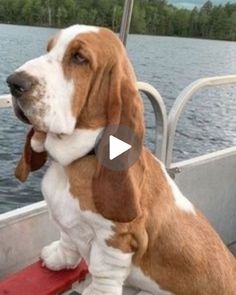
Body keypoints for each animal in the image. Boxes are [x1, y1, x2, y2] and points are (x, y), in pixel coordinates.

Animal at [6, 25, 235, 295]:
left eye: (79, 58)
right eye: (49, 48)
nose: (13, 83)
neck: (73, 163)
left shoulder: (117, 238)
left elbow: (103, 271)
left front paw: (94, 291)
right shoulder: (71, 225)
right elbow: (68, 237)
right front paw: (60, 257)